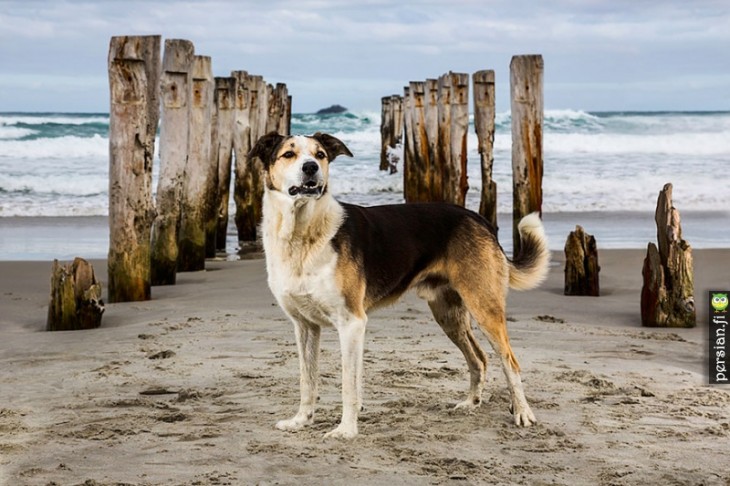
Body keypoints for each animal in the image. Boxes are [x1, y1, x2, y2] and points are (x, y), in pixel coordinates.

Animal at [249, 131, 544, 438]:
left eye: (320, 155)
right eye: (288, 154)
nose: (311, 168)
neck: (303, 234)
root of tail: (480, 219)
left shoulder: (351, 322)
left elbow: (348, 385)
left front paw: (346, 430)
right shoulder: (305, 326)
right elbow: (307, 380)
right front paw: (301, 420)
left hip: (484, 306)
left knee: (510, 361)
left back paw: (523, 412)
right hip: (448, 315)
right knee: (480, 359)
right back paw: (471, 403)